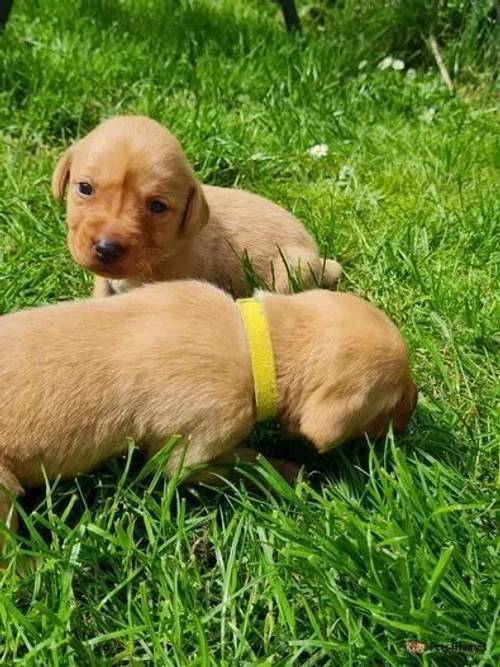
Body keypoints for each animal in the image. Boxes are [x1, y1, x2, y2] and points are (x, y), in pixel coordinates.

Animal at [0, 282, 418, 532]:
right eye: (393, 399)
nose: (416, 405)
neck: (257, 346)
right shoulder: (193, 447)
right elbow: (242, 461)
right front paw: (287, 472)